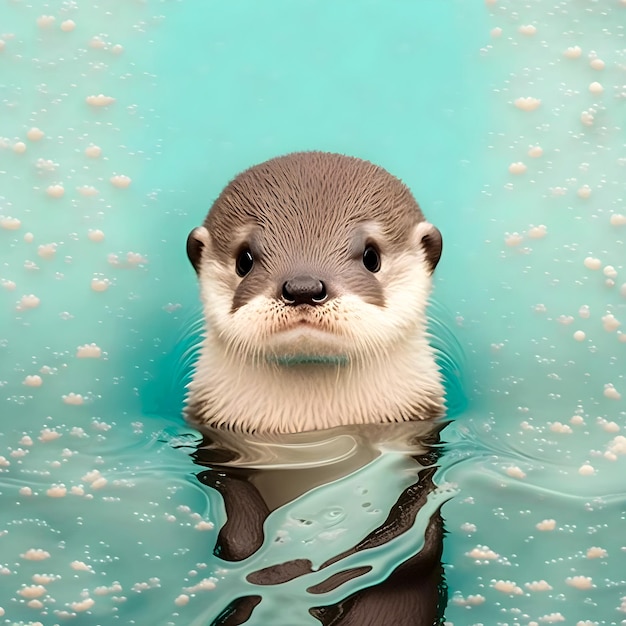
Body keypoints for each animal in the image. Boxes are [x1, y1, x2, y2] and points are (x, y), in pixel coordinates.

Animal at [183, 152, 446, 624]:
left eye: (371, 256)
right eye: (245, 258)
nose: (303, 286)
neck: (311, 434)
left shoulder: (421, 439)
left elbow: (410, 530)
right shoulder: (217, 440)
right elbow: (235, 521)